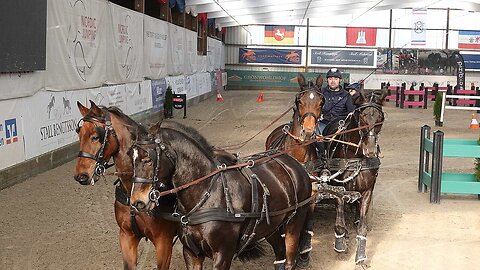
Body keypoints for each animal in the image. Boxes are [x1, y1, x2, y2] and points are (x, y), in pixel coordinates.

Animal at [74, 101, 179, 270]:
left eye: (95, 136)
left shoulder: (164, 242)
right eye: (79, 134)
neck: (133, 189)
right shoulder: (126, 236)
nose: (81, 175)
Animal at [129, 121, 314, 268]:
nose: (137, 201)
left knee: (290, 259)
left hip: (294, 222)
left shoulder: (223, 254)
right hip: (270, 226)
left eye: (148, 158)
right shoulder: (191, 253)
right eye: (131, 157)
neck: (207, 195)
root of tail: (294, 164)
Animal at [264, 73, 324, 266]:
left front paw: (303, 252)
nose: (308, 131)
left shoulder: (311, 196)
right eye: (299, 101)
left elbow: (307, 224)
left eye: (321, 102)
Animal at [322, 88, 386, 266]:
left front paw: (361, 258)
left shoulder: (367, 191)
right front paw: (340, 244)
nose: (370, 150)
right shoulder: (339, 189)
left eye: (380, 119)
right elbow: (339, 223)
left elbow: (362, 227)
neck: (355, 156)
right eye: (362, 117)